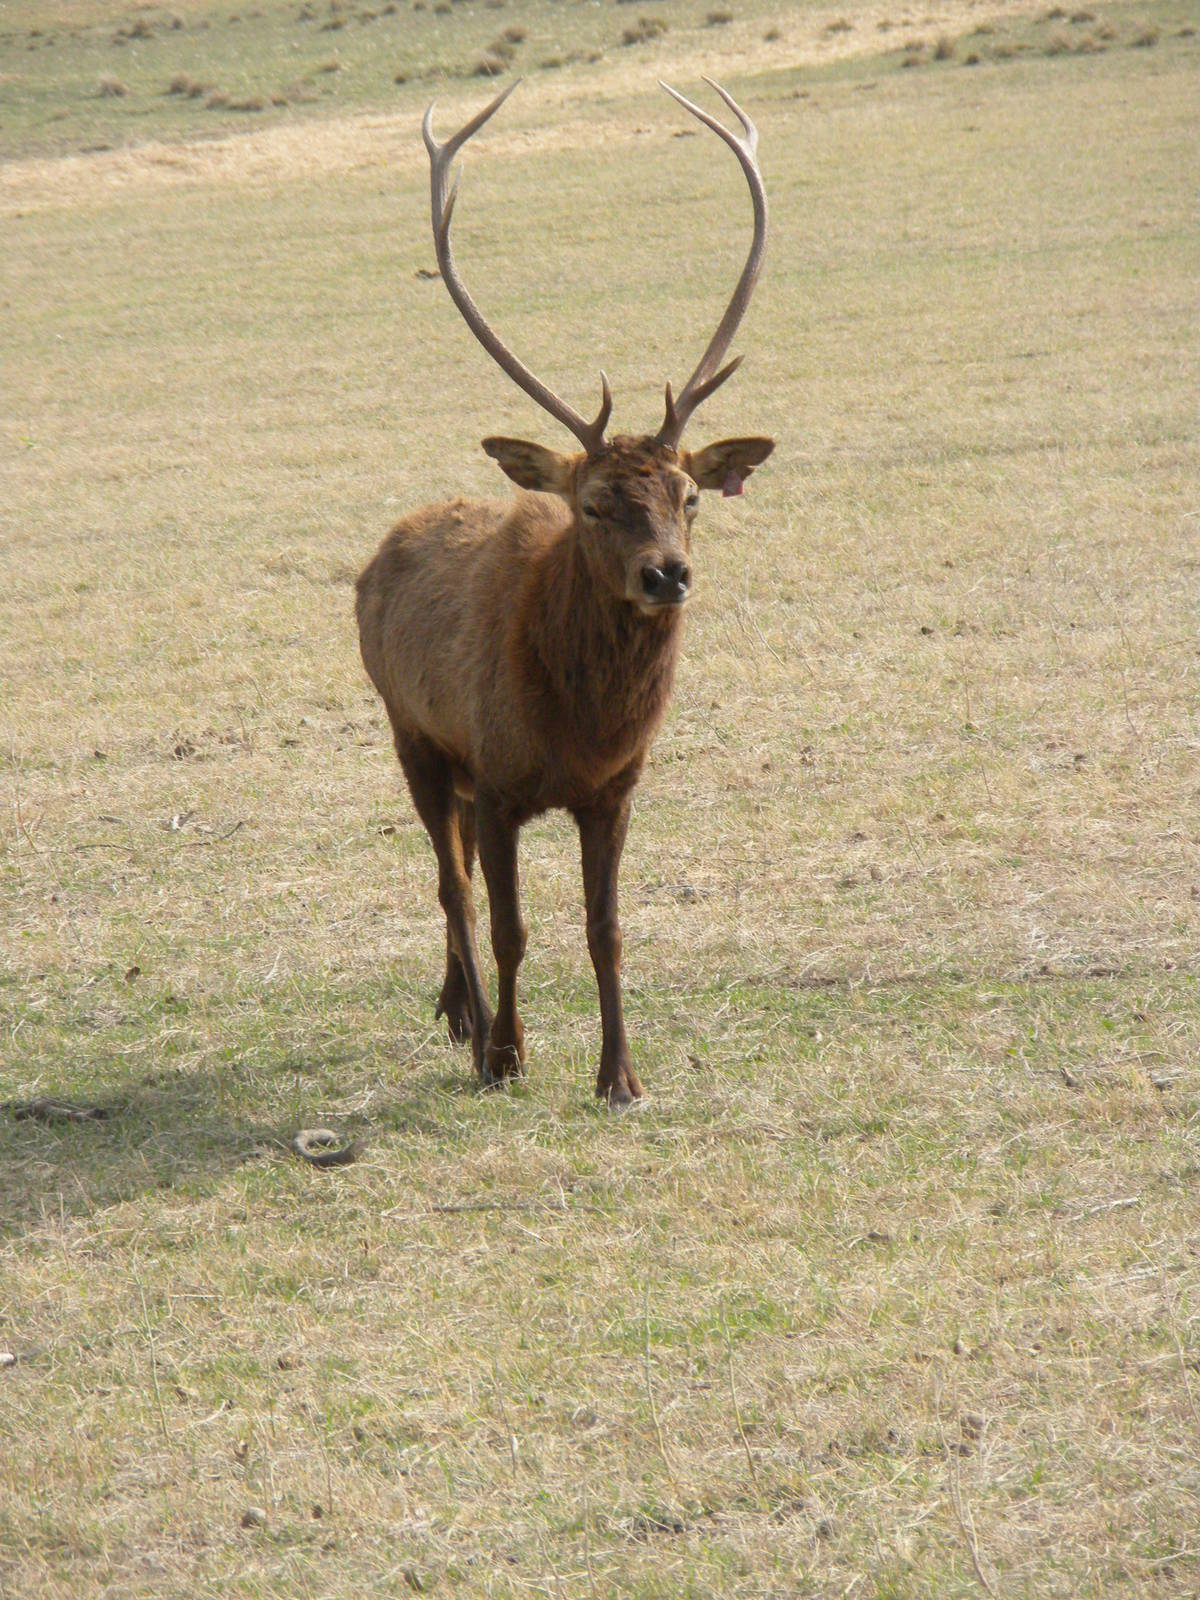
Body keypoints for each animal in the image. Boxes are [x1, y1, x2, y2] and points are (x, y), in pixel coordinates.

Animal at [356, 78, 773, 1105]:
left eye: (690, 496)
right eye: (591, 504)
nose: (667, 573)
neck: (578, 728)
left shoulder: (615, 789)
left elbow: (606, 930)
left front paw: (620, 1075)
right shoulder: (501, 781)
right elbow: (510, 926)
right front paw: (508, 1055)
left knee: (457, 871)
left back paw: (453, 1007)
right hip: (411, 731)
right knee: (451, 880)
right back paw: (470, 1023)